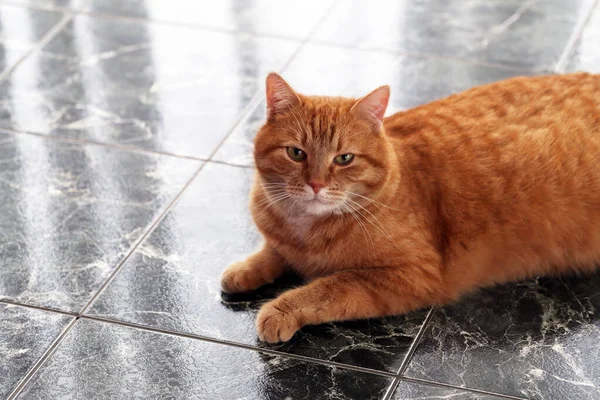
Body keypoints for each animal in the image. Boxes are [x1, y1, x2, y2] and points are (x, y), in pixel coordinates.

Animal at [220, 70, 600, 342]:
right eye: (296, 153)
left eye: (344, 159)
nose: (316, 184)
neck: (306, 231)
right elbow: (272, 252)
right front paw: (243, 270)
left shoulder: (411, 275)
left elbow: (329, 287)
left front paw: (282, 309)